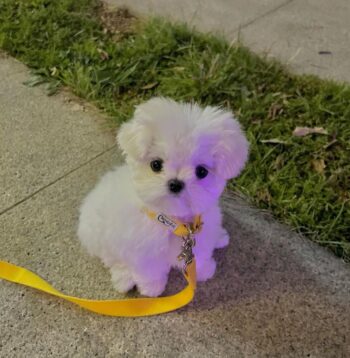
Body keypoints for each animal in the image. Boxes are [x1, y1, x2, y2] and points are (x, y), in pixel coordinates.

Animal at [78, 98, 249, 296]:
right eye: (156, 164)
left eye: (201, 171)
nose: (175, 183)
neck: (174, 222)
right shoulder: (143, 251)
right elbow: (149, 271)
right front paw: (152, 288)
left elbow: (201, 255)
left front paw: (204, 270)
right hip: (100, 237)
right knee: (112, 258)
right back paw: (123, 278)